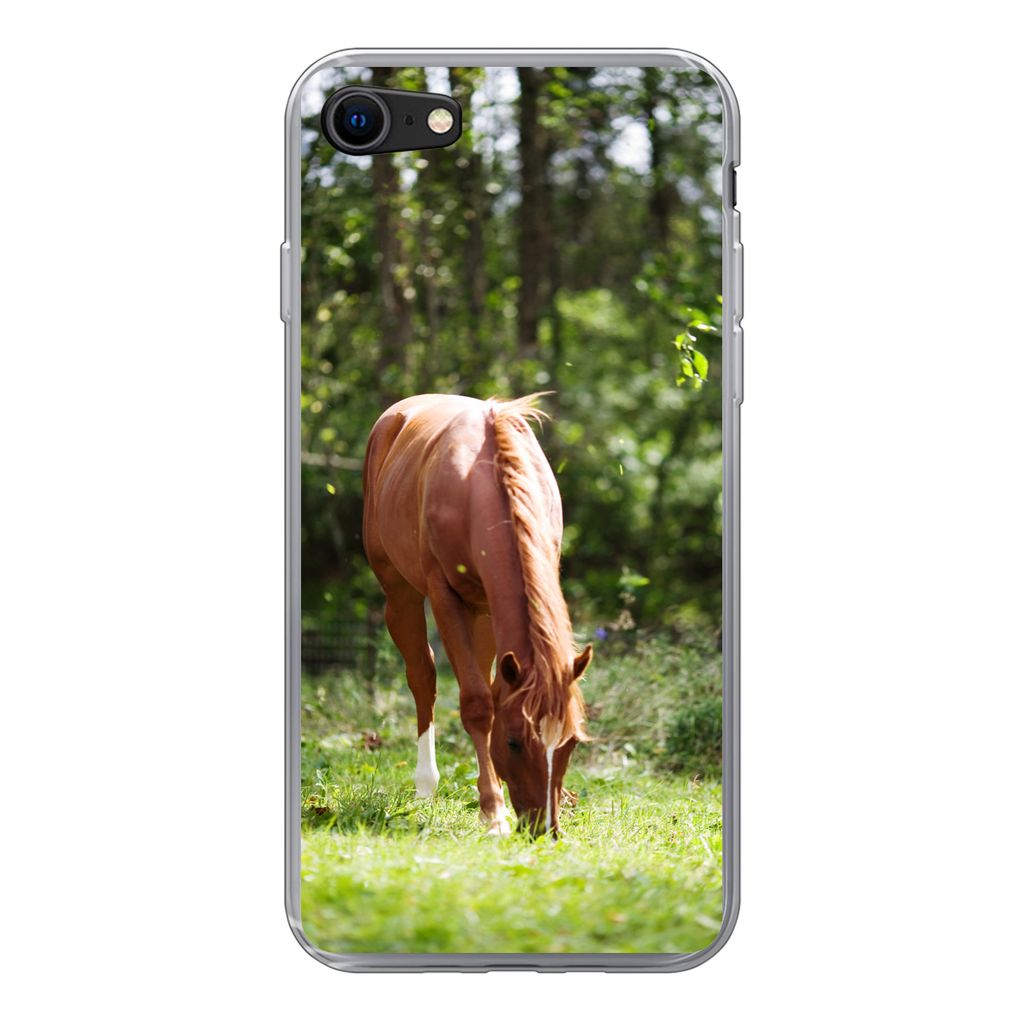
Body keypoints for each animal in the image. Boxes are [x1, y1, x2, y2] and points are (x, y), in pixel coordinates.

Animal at [362, 394, 592, 836]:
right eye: (515, 742)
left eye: (570, 742)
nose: (544, 829)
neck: (481, 485)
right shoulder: (445, 596)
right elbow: (476, 704)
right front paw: (493, 813)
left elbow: (491, 693)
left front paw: (494, 796)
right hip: (400, 594)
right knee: (423, 677)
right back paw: (426, 786)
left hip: (483, 611)